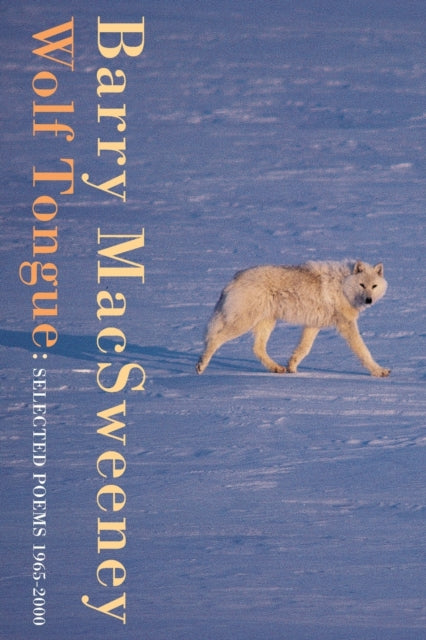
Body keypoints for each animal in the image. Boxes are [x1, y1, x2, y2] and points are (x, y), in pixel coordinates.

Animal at [196, 260, 390, 377]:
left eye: (374, 286)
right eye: (362, 285)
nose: (369, 300)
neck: (343, 285)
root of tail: (234, 278)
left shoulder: (313, 325)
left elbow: (303, 349)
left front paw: (292, 367)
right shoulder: (346, 324)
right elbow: (363, 351)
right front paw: (379, 371)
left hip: (266, 323)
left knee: (257, 348)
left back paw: (277, 368)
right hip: (243, 324)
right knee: (215, 339)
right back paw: (201, 365)